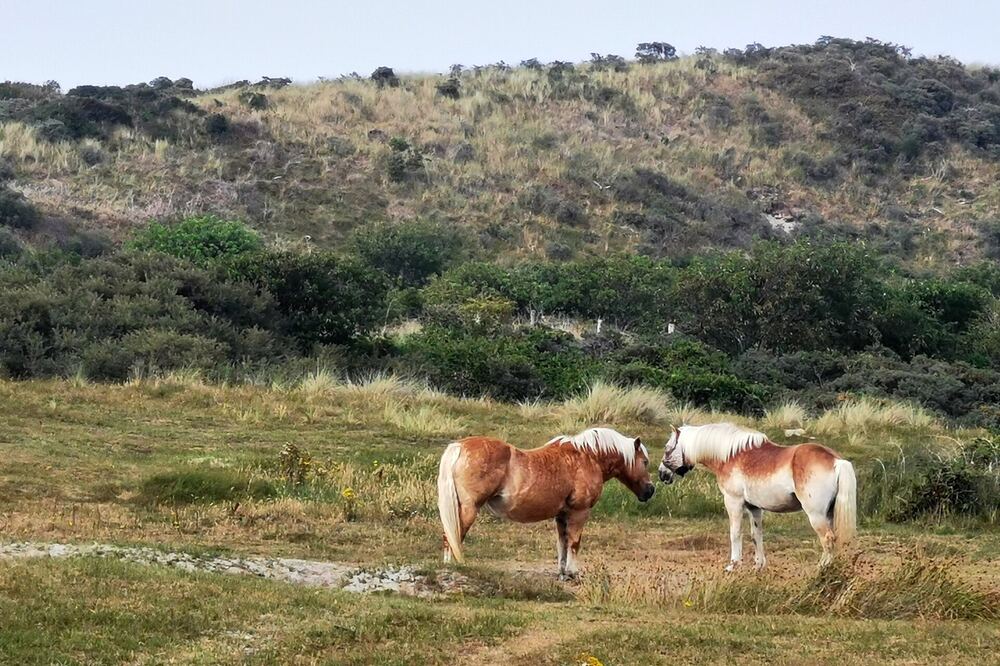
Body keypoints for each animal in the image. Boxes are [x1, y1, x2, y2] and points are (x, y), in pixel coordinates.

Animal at [437, 427, 655, 579]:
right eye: (644, 462)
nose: (650, 490)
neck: (587, 457)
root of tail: (459, 447)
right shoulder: (579, 512)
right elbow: (574, 543)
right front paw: (573, 572)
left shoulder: (561, 515)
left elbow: (562, 544)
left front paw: (562, 572)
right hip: (468, 510)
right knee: (454, 536)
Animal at [658, 423, 856, 570]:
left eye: (667, 448)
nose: (662, 474)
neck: (731, 456)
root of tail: (837, 461)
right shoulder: (754, 508)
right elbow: (756, 535)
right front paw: (759, 565)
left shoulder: (733, 502)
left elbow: (735, 533)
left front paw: (733, 565)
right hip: (829, 514)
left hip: (816, 515)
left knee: (828, 539)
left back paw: (821, 569)